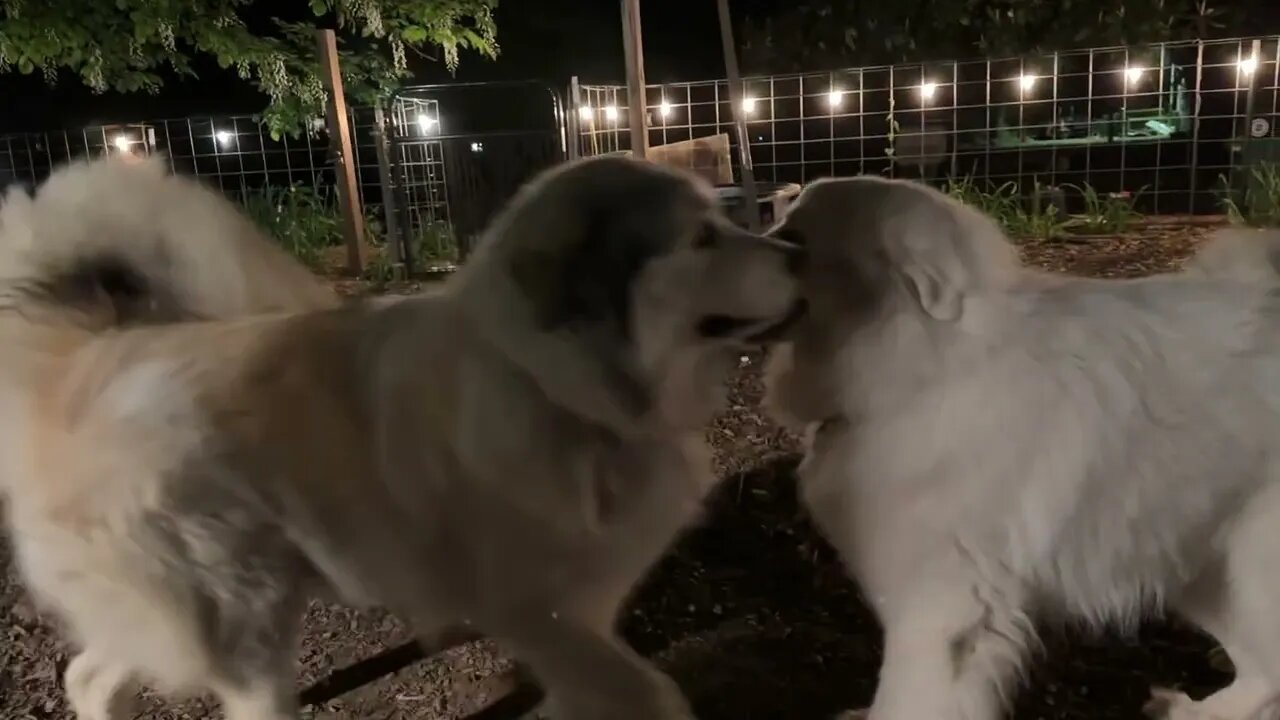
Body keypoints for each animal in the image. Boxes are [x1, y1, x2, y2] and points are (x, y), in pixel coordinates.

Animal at [0, 154, 798, 712]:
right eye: (702, 237)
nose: (799, 251)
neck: (560, 391)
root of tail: (76, 357)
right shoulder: (543, 617)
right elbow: (655, 693)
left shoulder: (581, 623)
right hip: (244, 625)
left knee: (89, 678)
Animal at [762, 174, 1280, 717]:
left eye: (794, 240)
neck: (924, 364)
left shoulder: (943, 613)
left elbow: (906, 700)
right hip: (1197, 562)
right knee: (1265, 674)